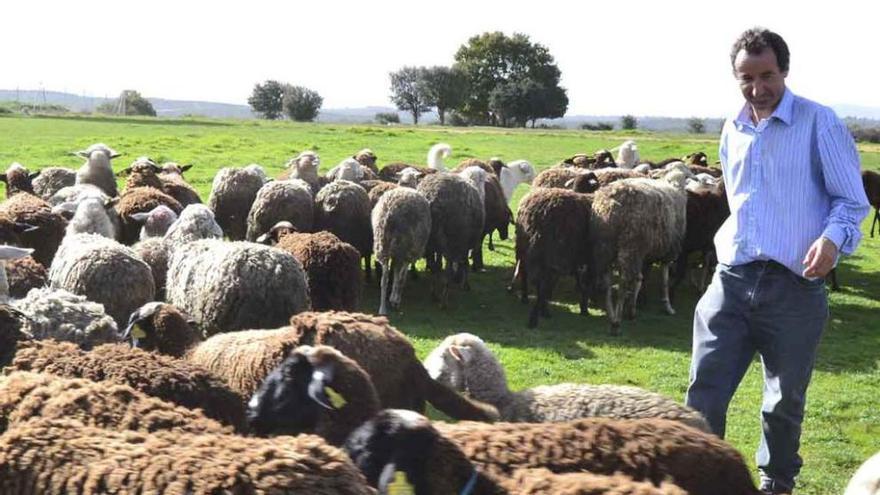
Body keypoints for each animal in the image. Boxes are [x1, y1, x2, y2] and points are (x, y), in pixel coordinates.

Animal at [418, 173, 484, 306]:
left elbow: (437, 265)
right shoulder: (460, 245)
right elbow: (463, 263)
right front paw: (464, 284)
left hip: (438, 242)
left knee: (438, 267)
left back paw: (438, 296)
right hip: (453, 242)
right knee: (451, 267)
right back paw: (446, 297)